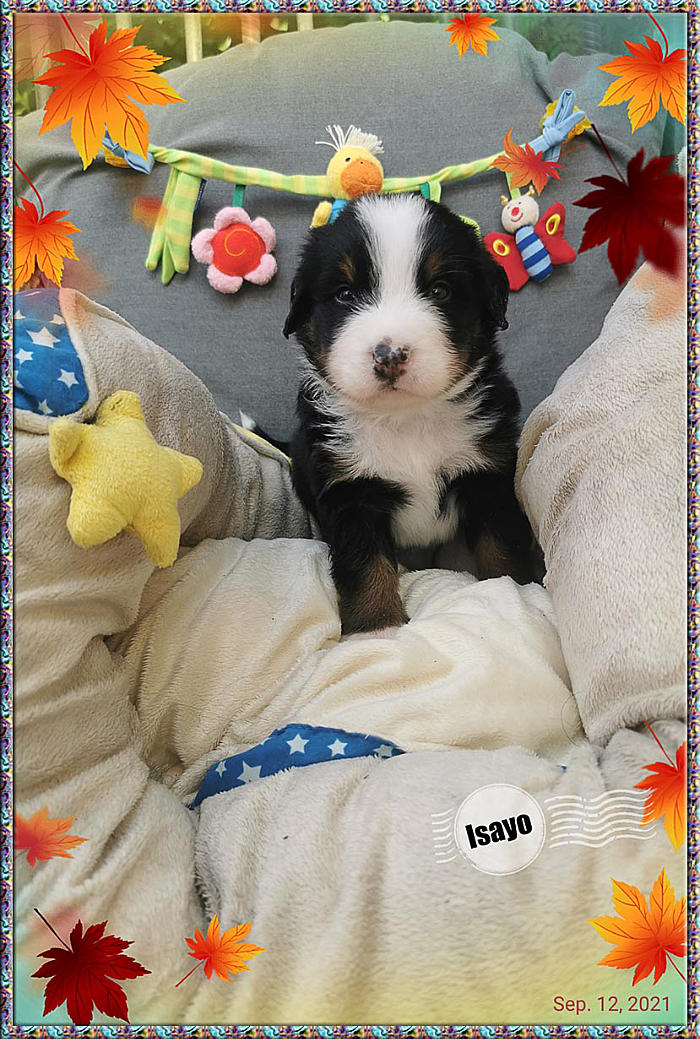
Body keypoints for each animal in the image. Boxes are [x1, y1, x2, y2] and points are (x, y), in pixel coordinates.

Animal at [282, 193, 540, 635]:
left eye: (440, 290)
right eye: (345, 294)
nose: (389, 355)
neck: (407, 420)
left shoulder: (488, 476)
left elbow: (502, 548)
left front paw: (515, 593)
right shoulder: (351, 492)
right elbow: (366, 566)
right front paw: (378, 627)